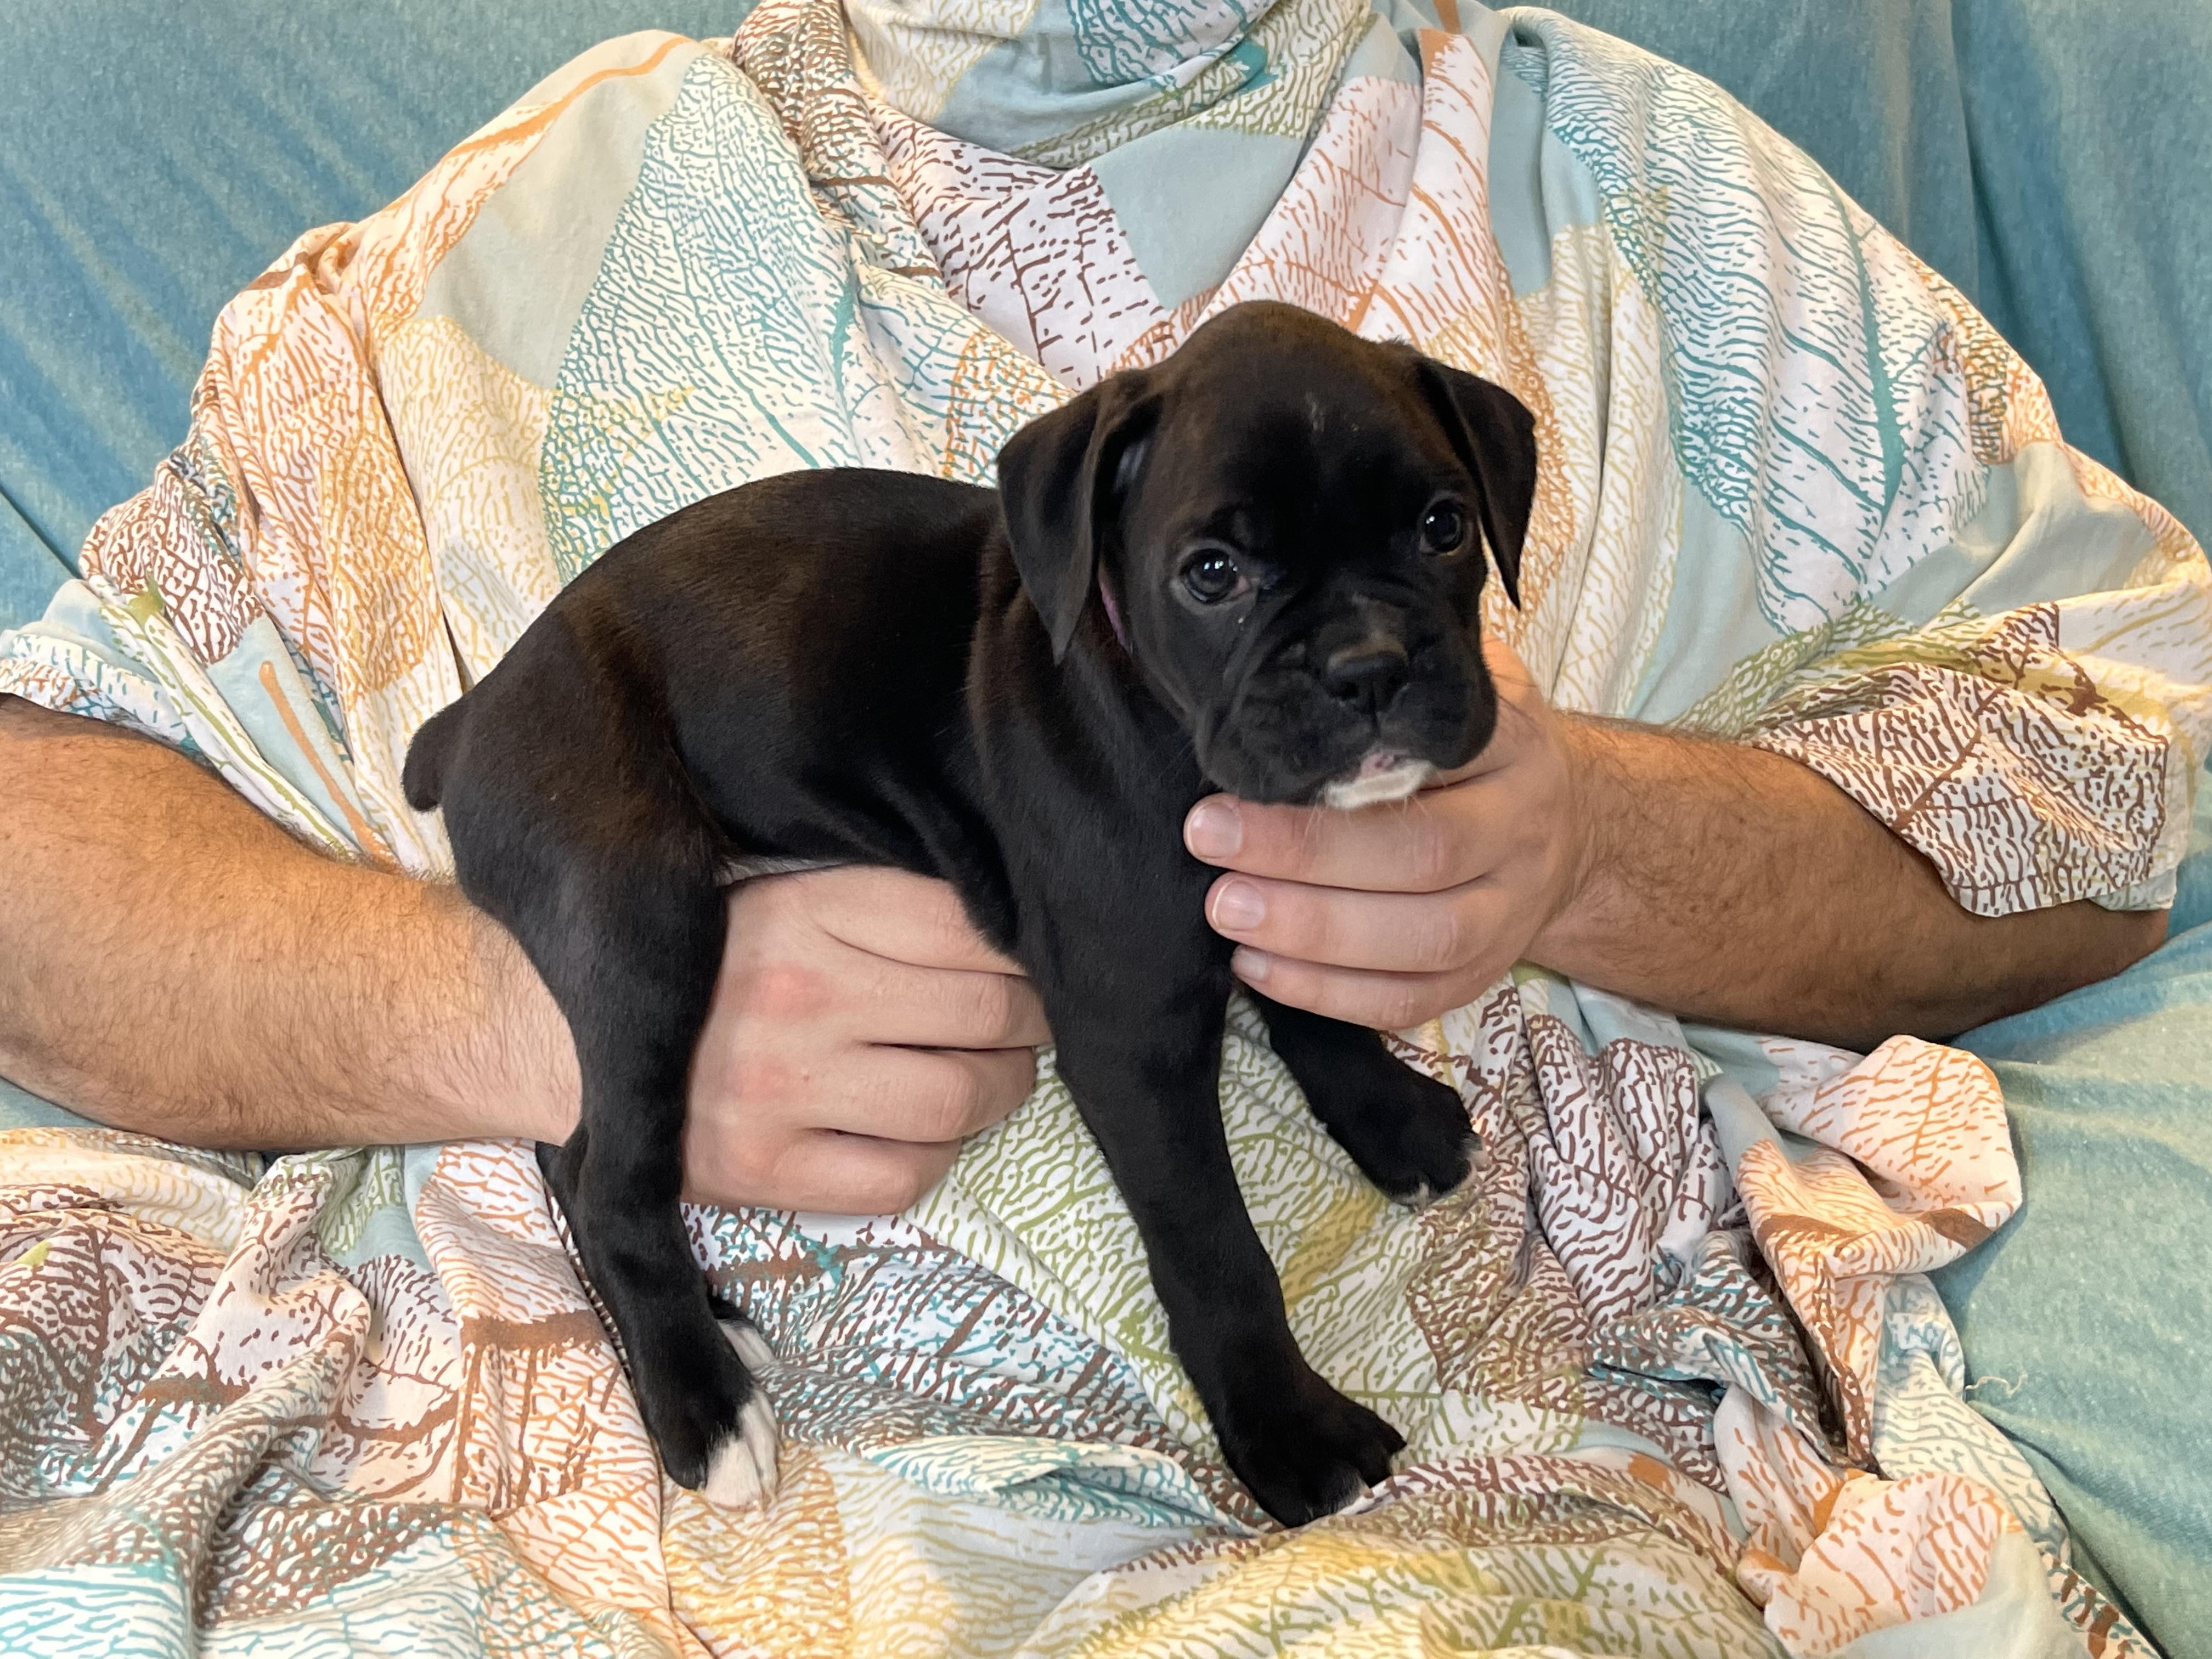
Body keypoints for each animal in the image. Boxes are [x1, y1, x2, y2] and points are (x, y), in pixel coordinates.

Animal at [402, 300, 1538, 1526]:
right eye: (1213, 574)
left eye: (1443, 526)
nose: (1367, 666)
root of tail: (475, 711)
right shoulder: (1132, 1041)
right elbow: (1214, 1244)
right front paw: (1288, 1426)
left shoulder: (1283, 888)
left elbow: (1313, 1001)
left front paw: (1391, 1120)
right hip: (641, 919)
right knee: (614, 1179)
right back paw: (704, 1407)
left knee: (571, 1149)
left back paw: (718, 1330)